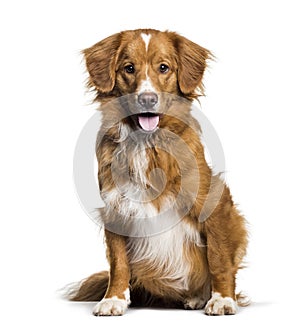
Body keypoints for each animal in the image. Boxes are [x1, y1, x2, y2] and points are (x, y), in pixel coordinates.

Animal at [71, 28, 248, 316]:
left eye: (163, 67)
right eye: (129, 68)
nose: (147, 98)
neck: (147, 142)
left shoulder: (215, 203)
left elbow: (219, 258)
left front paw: (222, 299)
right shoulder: (114, 208)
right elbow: (118, 263)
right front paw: (114, 299)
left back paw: (200, 297)